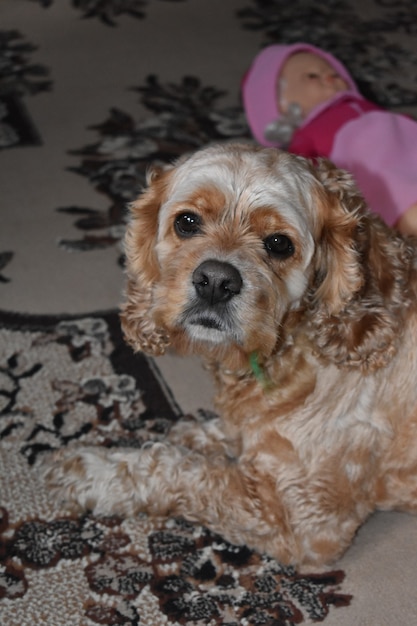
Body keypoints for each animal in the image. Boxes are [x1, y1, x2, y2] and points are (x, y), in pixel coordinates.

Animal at [44, 144, 416, 568]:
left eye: (279, 243)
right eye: (187, 222)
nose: (215, 282)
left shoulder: (299, 519)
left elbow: (177, 469)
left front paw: (89, 471)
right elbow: (221, 434)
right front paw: (199, 433)